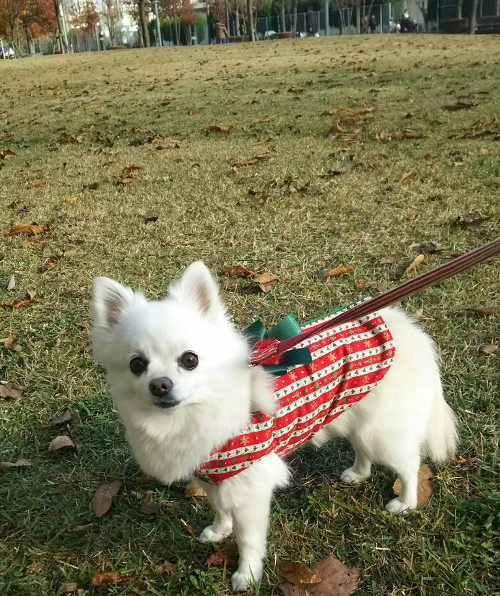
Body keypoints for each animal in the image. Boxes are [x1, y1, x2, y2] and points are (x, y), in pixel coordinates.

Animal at [92, 264, 458, 592]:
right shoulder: (216, 474)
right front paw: (219, 530)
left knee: (409, 465)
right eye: (137, 365)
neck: (191, 413)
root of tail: (402, 326)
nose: (160, 385)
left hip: (382, 431)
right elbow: (219, 507)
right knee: (363, 449)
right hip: (356, 414)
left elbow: (248, 539)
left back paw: (406, 503)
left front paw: (247, 574)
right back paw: (358, 473)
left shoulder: (250, 487)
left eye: (189, 360)